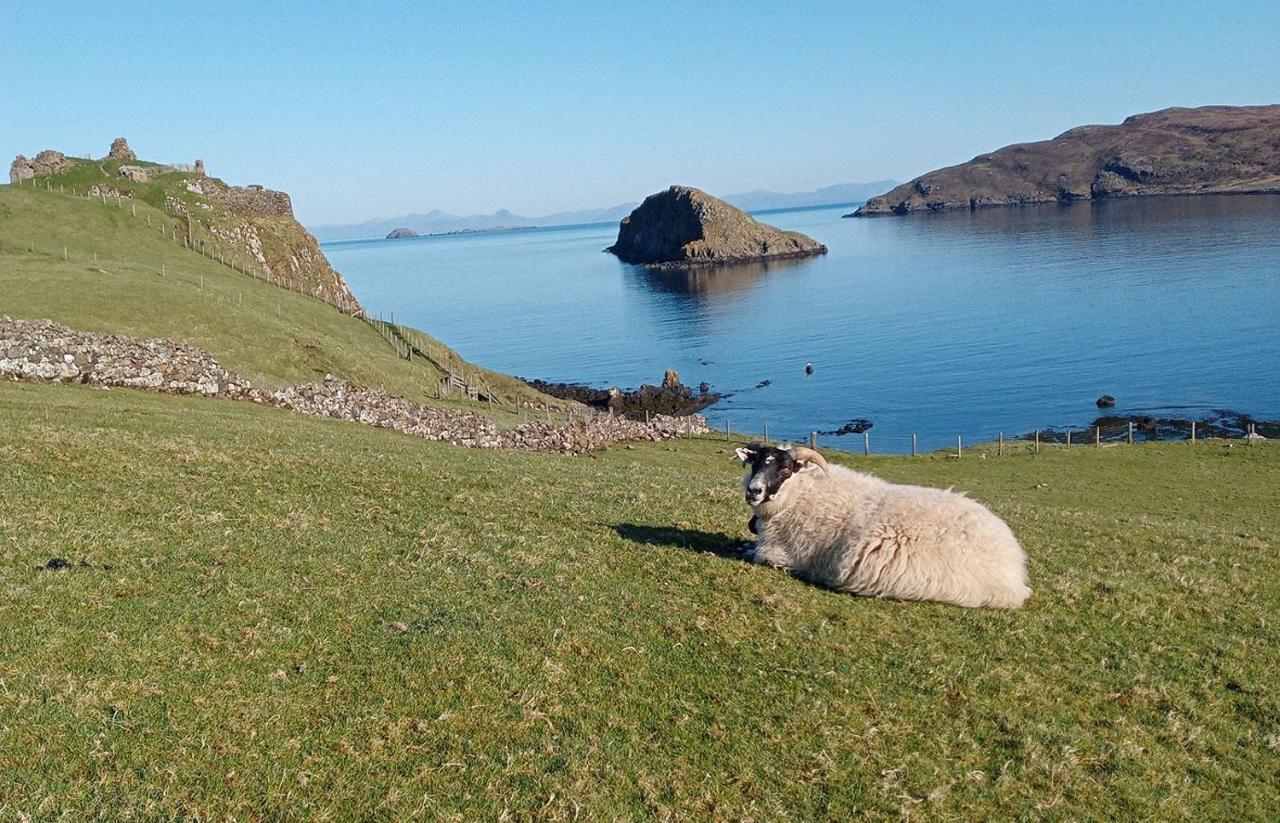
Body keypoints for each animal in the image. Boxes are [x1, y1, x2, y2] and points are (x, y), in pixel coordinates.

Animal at [732, 445, 1029, 611]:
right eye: (755, 464)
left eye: (785, 470)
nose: (753, 491)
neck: (800, 495)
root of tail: (1014, 569)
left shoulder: (787, 554)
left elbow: (758, 554)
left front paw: (745, 549)